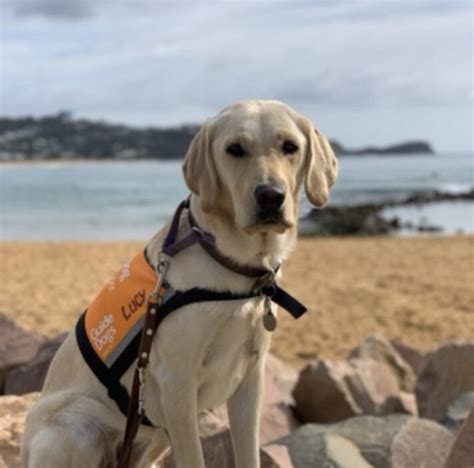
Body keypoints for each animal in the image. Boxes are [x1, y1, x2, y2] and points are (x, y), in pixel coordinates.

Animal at [22, 100, 338, 468]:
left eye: (290, 147)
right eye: (234, 149)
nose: (271, 196)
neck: (236, 265)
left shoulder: (250, 378)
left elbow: (247, 453)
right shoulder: (178, 383)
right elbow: (194, 457)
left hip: (152, 438)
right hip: (75, 426)